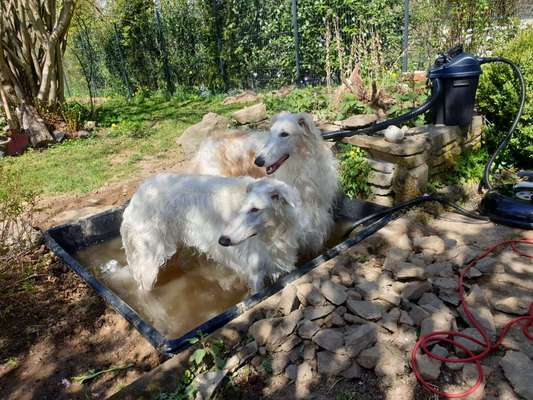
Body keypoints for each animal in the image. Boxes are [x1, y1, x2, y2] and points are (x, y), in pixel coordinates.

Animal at [118, 173, 306, 292]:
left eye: (255, 209)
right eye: (241, 208)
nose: (222, 241)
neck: (272, 233)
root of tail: (135, 198)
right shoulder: (255, 273)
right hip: (150, 261)